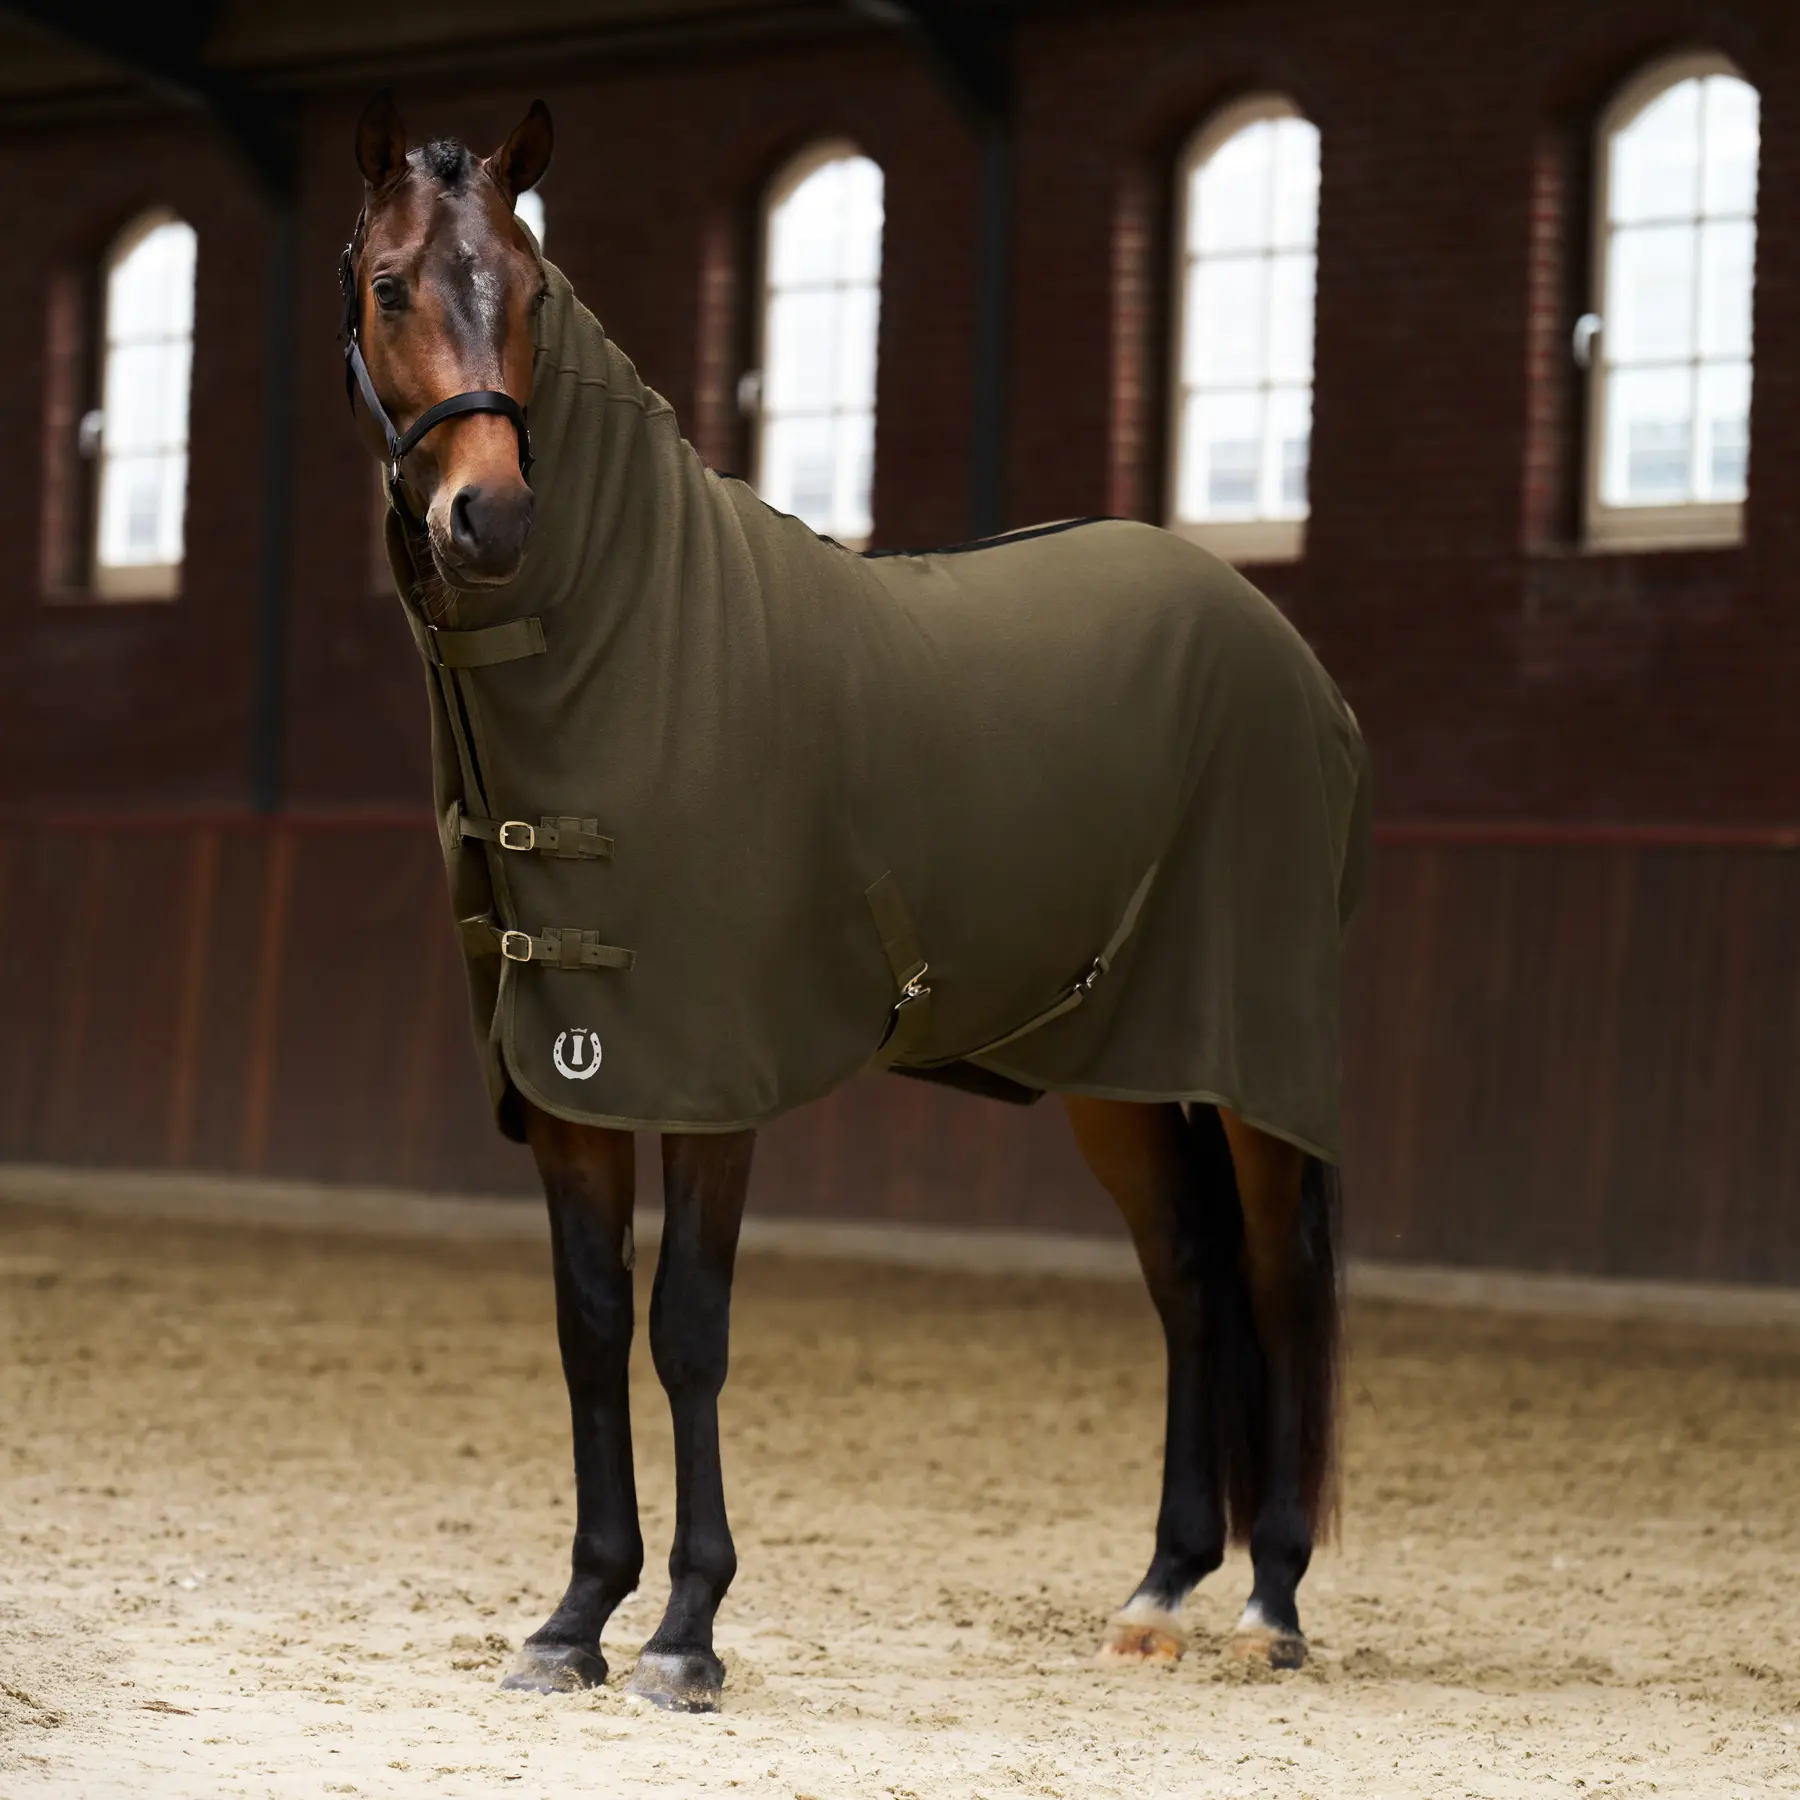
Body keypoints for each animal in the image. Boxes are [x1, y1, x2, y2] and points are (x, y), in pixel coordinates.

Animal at [341, 91, 1367, 1713]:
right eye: (391, 287)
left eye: (533, 288)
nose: (487, 517)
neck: (640, 641)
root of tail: (1284, 650)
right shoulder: (571, 1084)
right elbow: (589, 1328)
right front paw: (574, 1618)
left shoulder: (716, 1083)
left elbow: (688, 1331)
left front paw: (685, 1633)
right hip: (1123, 1072)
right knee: (1194, 1284)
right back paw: (1160, 1591)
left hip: (1256, 1067)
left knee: (1272, 1278)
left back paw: (1269, 1605)